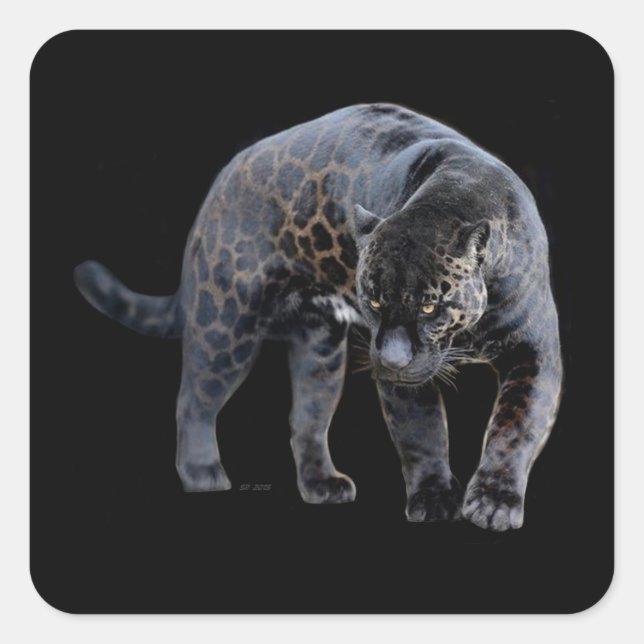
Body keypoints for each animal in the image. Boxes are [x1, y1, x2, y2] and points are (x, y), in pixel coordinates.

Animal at [74, 103, 562, 531]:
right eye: (374, 300)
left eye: (429, 306)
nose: (391, 360)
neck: (453, 194)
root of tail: (219, 185)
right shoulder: (405, 378)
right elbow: (421, 432)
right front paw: (434, 497)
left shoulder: (534, 351)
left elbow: (515, 426)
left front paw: (494, 503)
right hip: (226, 324)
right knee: (194, 398)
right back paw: (201, 473)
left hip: (321, 350)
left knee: (305, 419)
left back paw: (322, 484)